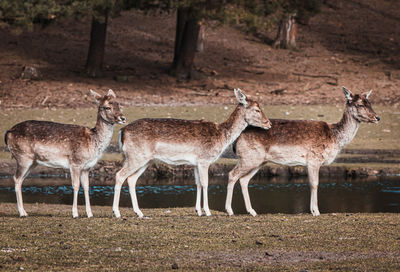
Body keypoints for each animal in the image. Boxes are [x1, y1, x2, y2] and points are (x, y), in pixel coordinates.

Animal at [4, 90, 125, 218]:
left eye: (119, 104)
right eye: (107, 107)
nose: (123, 118)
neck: (92, 142)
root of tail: (8, 133)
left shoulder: (87, 167)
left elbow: (86, 187)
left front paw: (90, 214)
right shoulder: (75, 162)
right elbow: (76, 185)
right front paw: (75, 213)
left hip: (32, 162)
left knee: (20, 180)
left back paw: (25, 212)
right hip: (23, 157)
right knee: (16, 178)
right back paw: (22, 213)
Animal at [112, 89, 272, 219]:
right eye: (257, 109)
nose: (268, 123)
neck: (221, 136)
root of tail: (122, 132)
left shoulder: (195, 163)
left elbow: (198, 183)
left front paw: (198, 211)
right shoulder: (204, 160)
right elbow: (206, 183)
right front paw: (207, 211)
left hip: (144, 160)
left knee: (131, 179)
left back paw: (139, 213)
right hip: (136, 157)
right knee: (119, 175)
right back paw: (117, 213)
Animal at [227, 87, 380, 217]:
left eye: (370, 103)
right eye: (360, 104)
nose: (377, 117)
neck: (335, 138)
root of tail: (237, 138)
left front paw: (313, 210)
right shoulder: (314, 159)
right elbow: (314, 183)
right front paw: (316, 212)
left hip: (258, 161)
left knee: (244, 180)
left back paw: (252, 211)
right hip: (249, 158)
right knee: (232, 174)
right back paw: (230, 211)